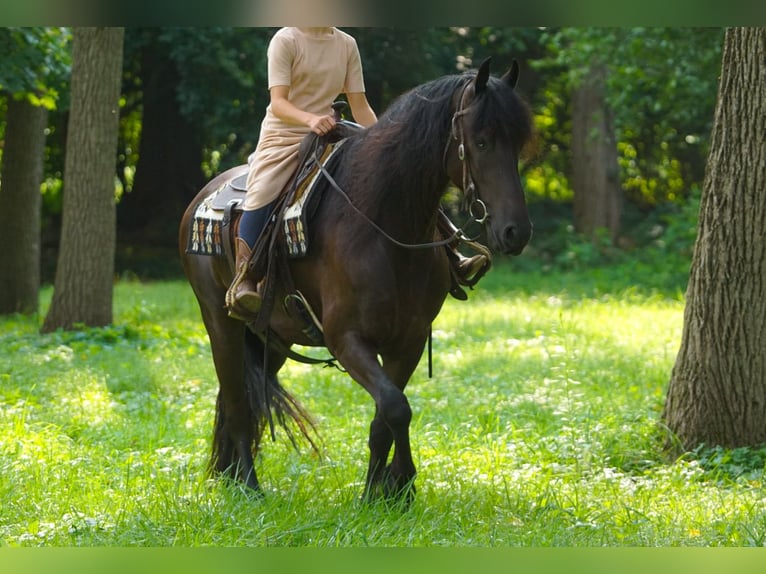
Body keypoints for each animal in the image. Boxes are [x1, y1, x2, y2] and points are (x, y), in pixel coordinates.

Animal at [178, 58, 533, 503]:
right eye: (482, 142)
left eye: (518, 142)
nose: (516, 232)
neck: (381, 223)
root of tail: (202, 198)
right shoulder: (345, 339)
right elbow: (396, 407)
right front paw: (398, 485)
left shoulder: (409, 339)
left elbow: (386, 415)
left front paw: (383, 492)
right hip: (220, 323)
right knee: (238, 402)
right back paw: (248, 485)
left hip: (269, 339)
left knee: (241, 398)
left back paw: (229, 475)